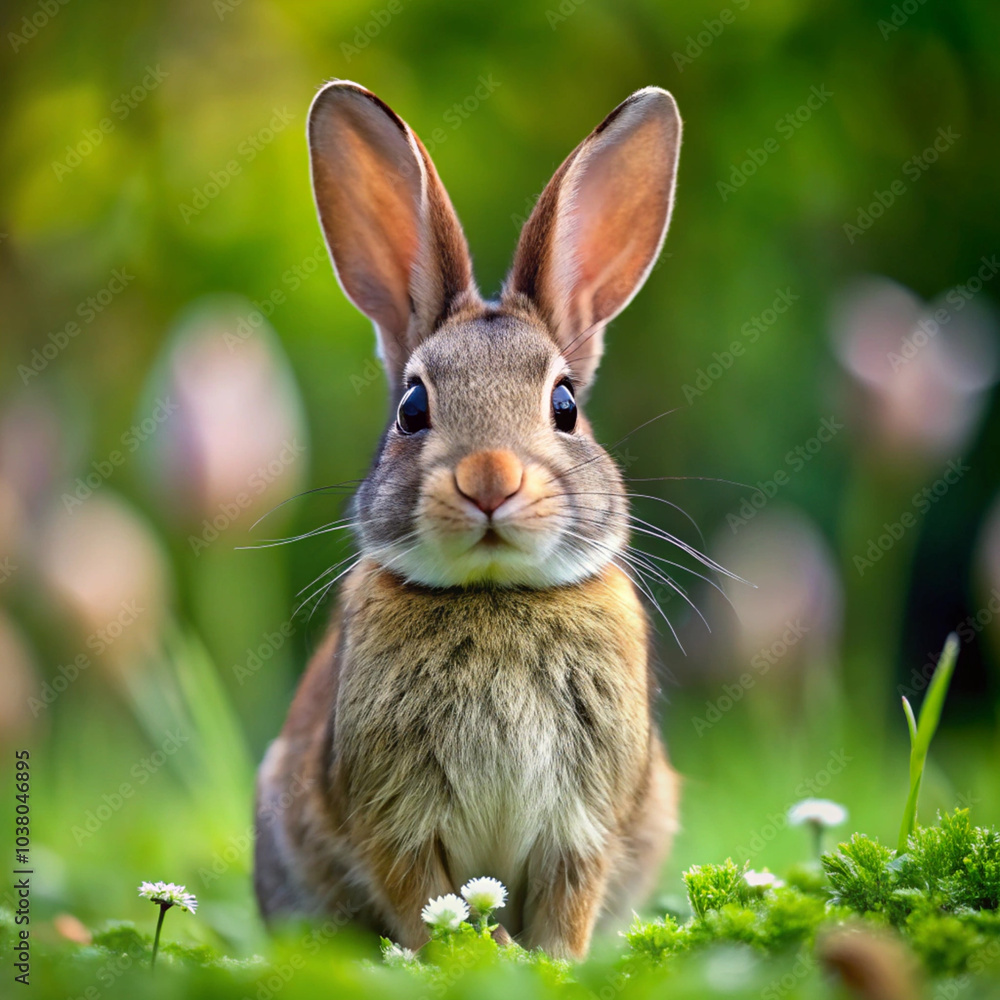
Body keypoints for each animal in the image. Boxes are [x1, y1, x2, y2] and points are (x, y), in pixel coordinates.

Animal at [254, 79, 683, 960]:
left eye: (566, 405)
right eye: (413, 408)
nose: (490, 477)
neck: (495, 594)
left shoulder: (582, 828)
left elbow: (566, 907)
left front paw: (549, 965)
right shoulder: (396, 823)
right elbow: (428, 901)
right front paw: (466, 960)